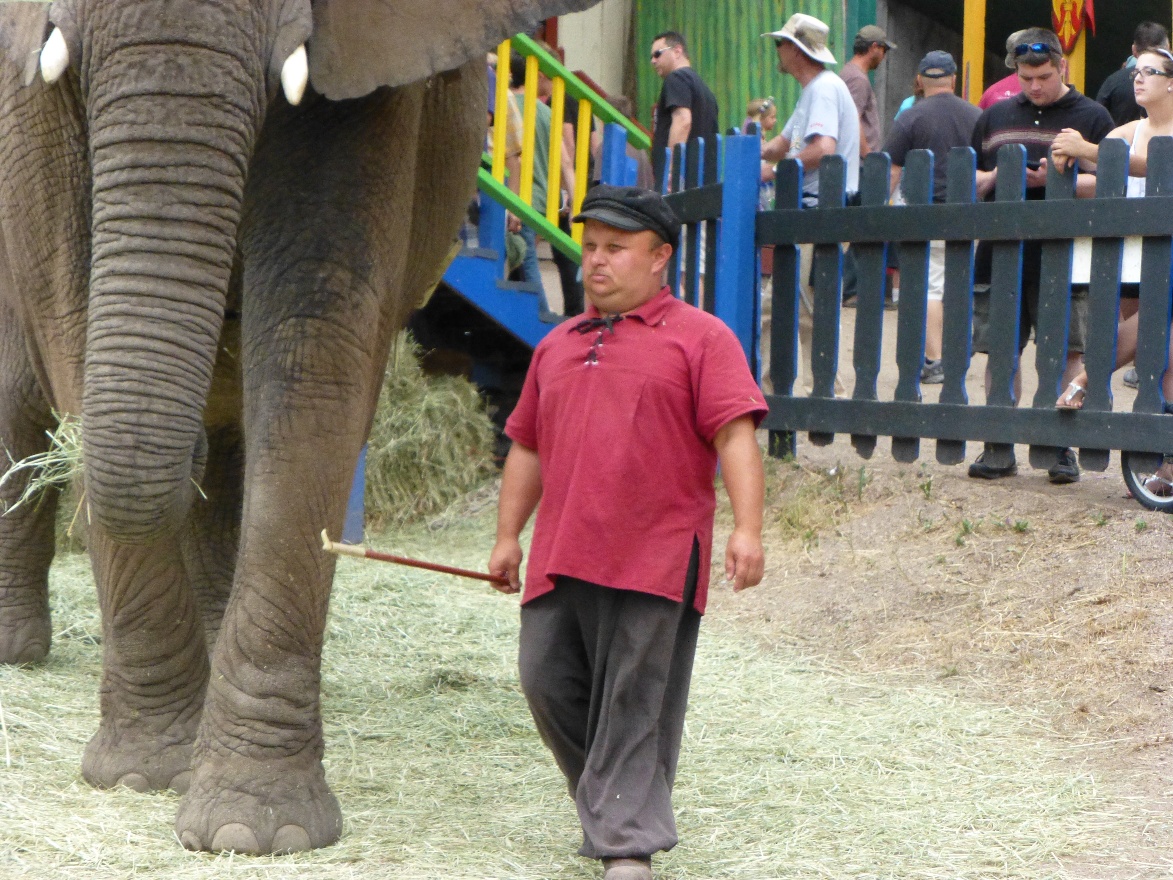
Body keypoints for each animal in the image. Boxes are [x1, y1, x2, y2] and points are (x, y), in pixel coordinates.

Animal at [0, 0, 595, 854]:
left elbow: (313, 347)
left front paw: (250, 829)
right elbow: (70, 315)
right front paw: (146, 775)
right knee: (24, 385)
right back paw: (21, 652)